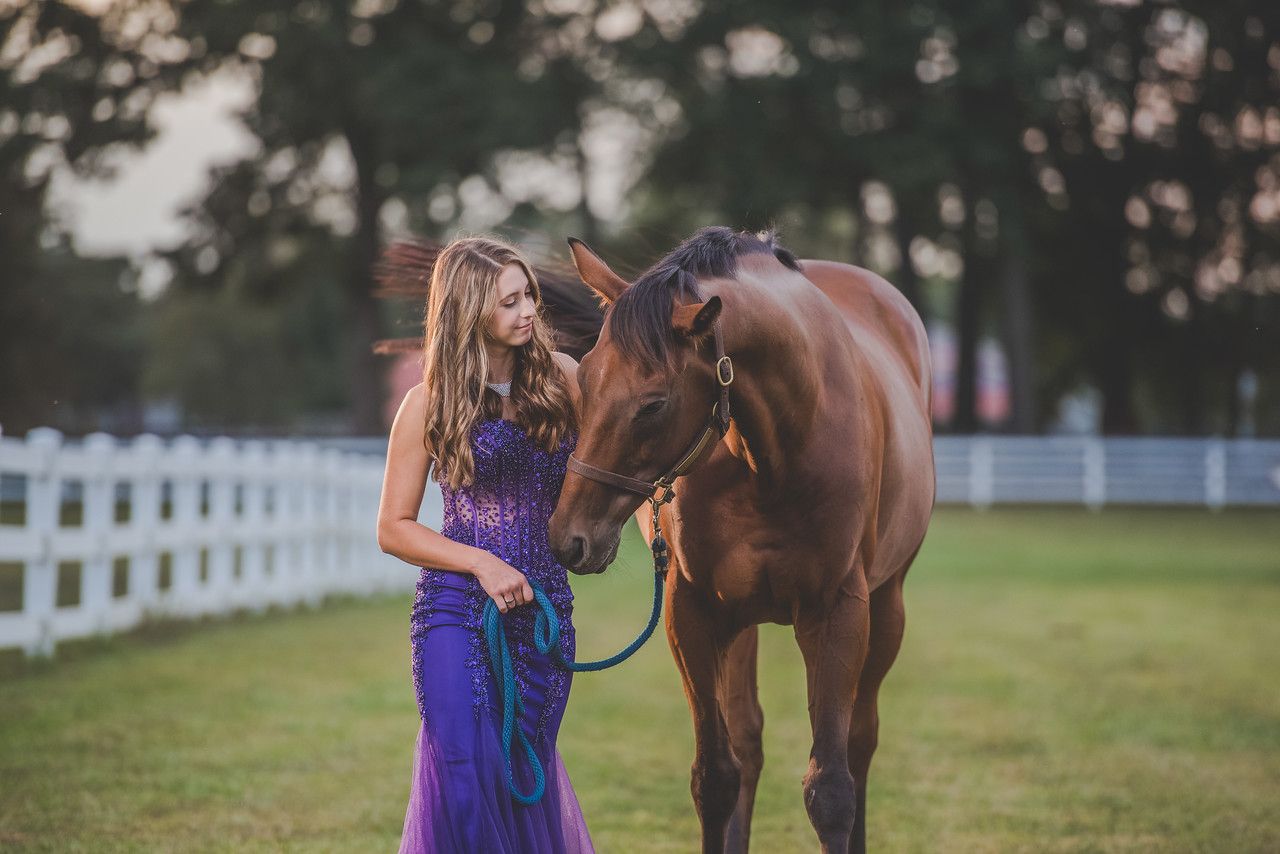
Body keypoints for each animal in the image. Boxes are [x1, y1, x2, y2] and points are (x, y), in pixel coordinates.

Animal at [545, 227, 936, 854]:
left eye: (653, 404)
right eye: (582, 381)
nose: (569, 538)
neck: (773, 454)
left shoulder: (837, 613)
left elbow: (831, 789)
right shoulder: (694, 611)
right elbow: (716, 777)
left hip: (886, 606)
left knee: (860, 742)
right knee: (748, 742)